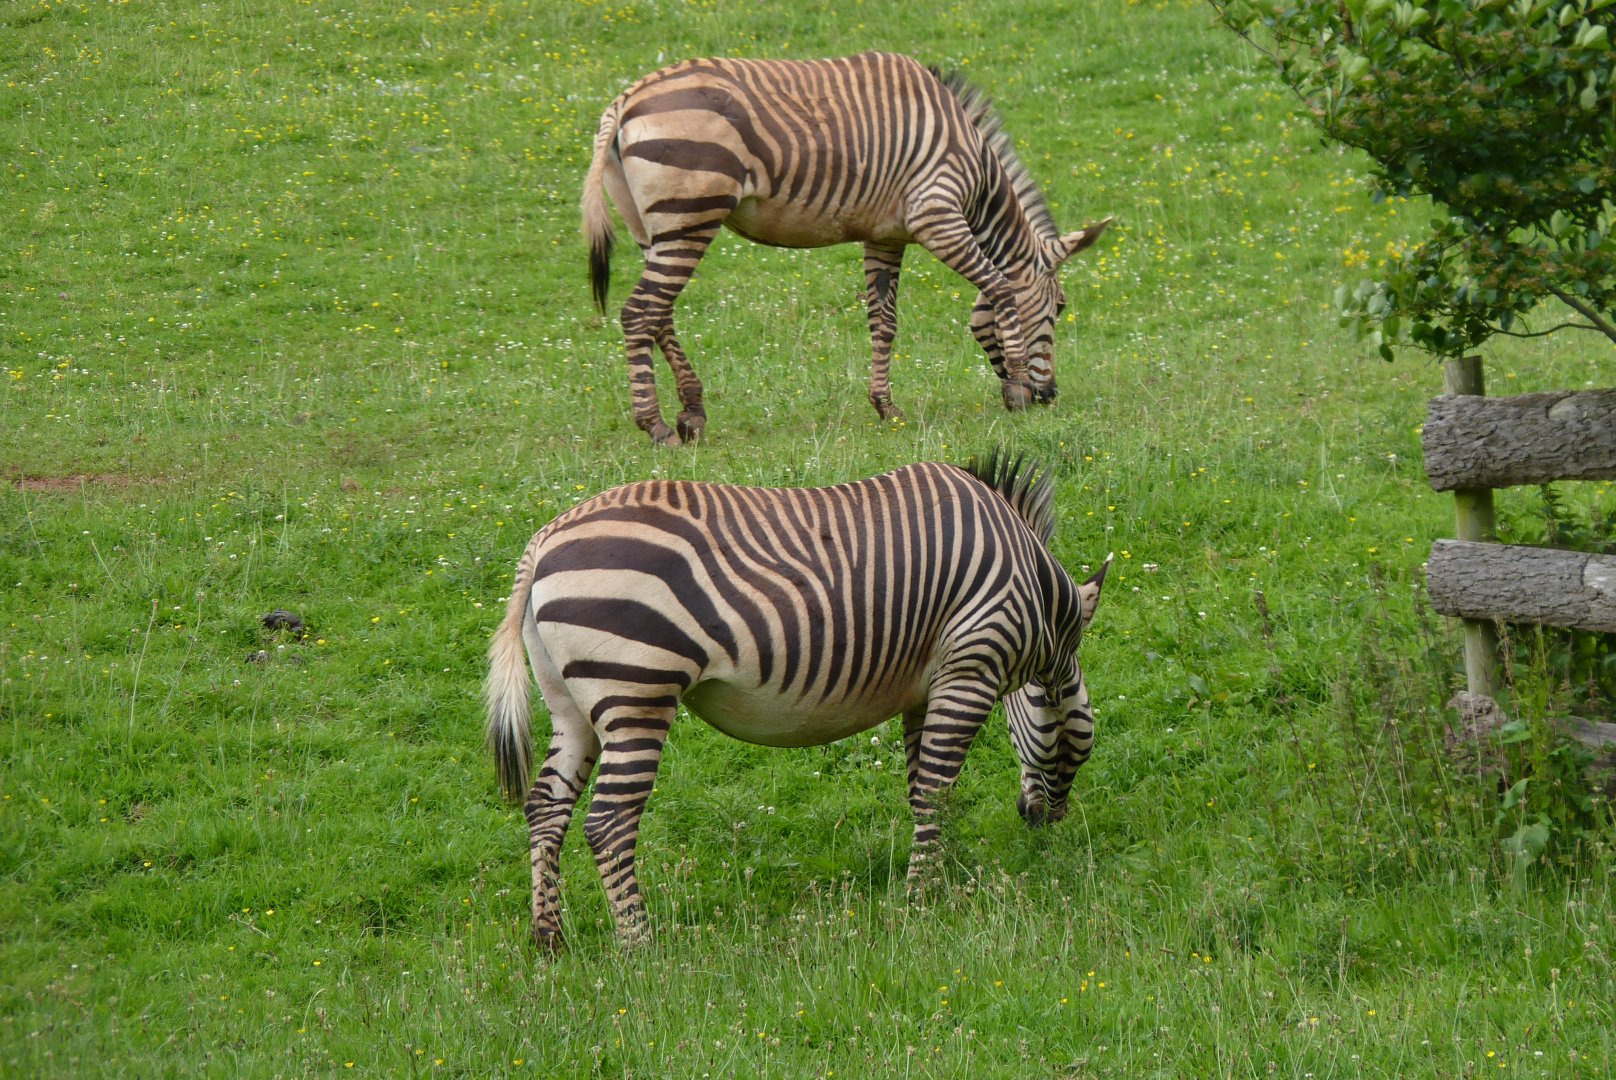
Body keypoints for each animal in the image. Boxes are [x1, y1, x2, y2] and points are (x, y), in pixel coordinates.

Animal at [485, 452, 1110, 950]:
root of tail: (542, 541)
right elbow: (936, 788)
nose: (1045, 824)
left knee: (547, 806)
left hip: (571, 704)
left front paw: (938, 876)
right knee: (609, 821)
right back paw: (642, 945)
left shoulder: (925, 687)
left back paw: (549, 938)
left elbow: (923, 792)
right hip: (636, 689)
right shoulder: (970, 669)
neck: (1037, 597)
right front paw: (922, 898)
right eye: (1075, 735)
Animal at [580, 51, 1112, 446]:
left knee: (659, 314)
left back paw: (691, 412)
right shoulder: (937, 215)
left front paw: (886, 407)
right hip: (691, 214)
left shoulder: (886, 235)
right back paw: (656, 426)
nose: (1050, 396)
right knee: (639, 314)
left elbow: (884, 323)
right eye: (1060, 307)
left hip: (655, 227)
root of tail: (624, 101)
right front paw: (1018, 387)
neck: (978, 175)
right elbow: (1001, 289)